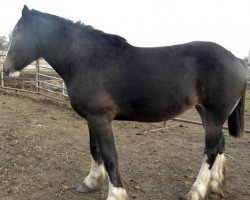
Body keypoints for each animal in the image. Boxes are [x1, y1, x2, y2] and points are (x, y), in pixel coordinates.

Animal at [2, 5, 247, 199]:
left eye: (18, 35)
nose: (6, 69)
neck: (85, 59)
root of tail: (236, 59)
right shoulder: (91, 118)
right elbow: (94, 149)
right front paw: (90, 182)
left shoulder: (101, 118)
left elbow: (110, 155)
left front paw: (116, 193)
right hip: (206, 114)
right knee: (220, 145)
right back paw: (215, 185)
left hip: (213, 115)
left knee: (211, 150)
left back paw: (196, 191)